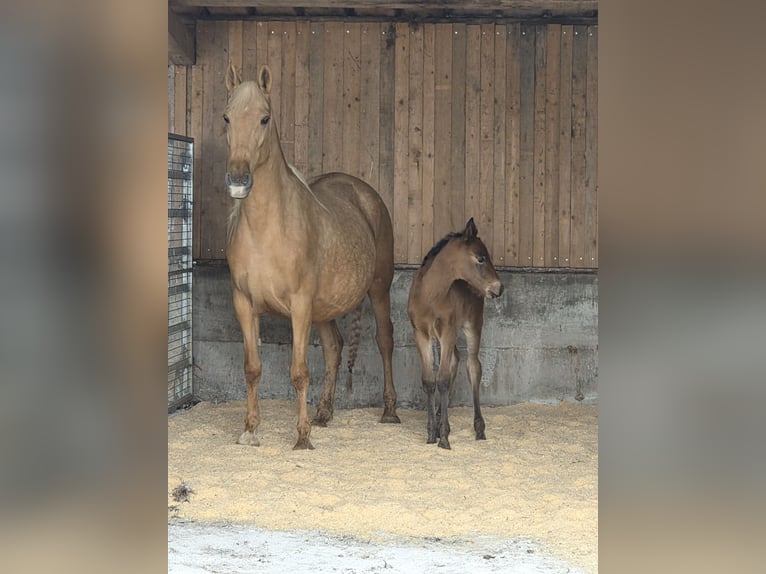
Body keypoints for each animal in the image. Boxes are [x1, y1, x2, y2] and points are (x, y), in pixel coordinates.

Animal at [223, 63, 399, 450]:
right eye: (226, 117)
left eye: (264, 118)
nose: (238, 181)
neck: (267, 230)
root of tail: (364, 193)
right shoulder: (244, 303)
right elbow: (252, 368)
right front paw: (250, 430)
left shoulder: (300, 305)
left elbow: (299, 372)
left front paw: (301, 437)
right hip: (325, 307)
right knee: (334, 348)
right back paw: (323, 413)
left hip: (378, 289)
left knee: (385, 341)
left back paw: (389, 411)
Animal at [407, 218, 504, 449]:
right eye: (480, 258)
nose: (499, 288)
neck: (430, 295)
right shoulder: (421, 335)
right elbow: (429, 381)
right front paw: (431, 433)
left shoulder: (447, 332)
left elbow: (441, 379)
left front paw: (443, 438)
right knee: (455, 361)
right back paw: (442, 417)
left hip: (473, 325)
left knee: (472, 366)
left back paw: (479, 429)